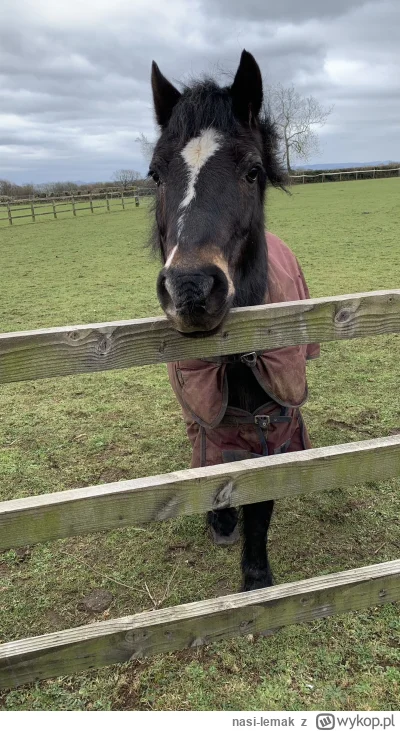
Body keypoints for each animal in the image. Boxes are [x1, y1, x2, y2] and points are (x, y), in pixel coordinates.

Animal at [147, 50, 318, 588]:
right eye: (155, 174)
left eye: (253, 171)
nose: (191, 289)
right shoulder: (206, 414)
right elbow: (210, 468)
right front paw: (221, 519)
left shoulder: (275, 429)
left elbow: (260, 501)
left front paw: (257, 579)